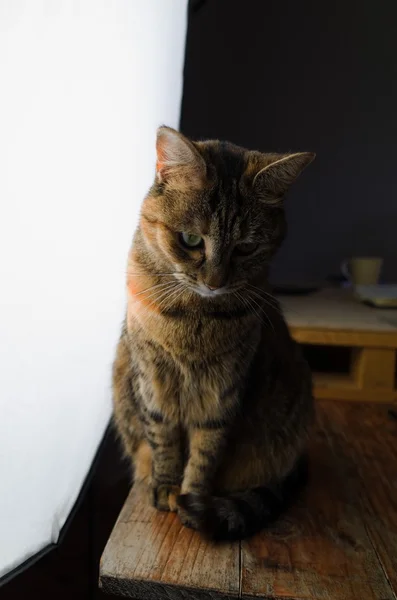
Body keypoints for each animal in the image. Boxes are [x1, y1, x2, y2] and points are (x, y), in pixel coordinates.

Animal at [112, 125, 316, 540]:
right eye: (191, 240)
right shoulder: (152, 379)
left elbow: (206, 452)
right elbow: (163, 439)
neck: (193, 315)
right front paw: (166, 487)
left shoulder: (224, 391)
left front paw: (191, 497)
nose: (214, 283)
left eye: (246, 247)